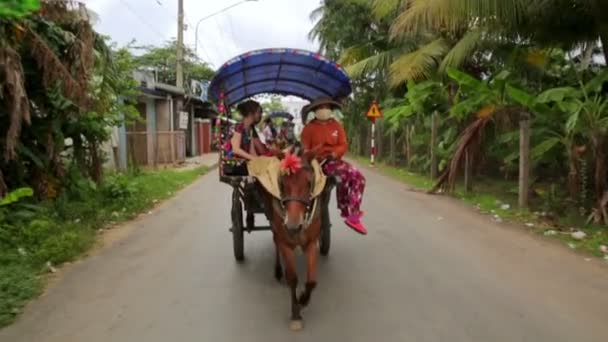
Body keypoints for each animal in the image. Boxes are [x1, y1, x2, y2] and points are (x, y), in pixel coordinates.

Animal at [264, 145, 326, 332]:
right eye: (282, 183)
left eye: (309, 182)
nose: (293, 226)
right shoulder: (285, 242)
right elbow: (292, 278)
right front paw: (296, 314)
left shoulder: (311, 242)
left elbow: (311, 281)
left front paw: (303, 300)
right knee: (275, 242)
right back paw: (278, 271)